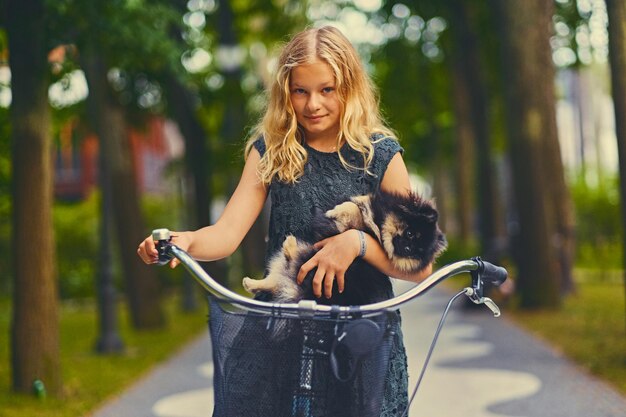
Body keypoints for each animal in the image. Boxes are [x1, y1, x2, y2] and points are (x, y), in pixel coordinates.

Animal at [241, 190, 446, 304]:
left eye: (416, 251)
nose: (407, 248)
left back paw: (288, 246)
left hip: (311, 259)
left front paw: (337, 213)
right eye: (410, 234)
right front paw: (337, 210)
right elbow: (354, 207)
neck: (380, 229)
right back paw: (251, 282)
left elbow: (354, 216)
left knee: (287, 272)